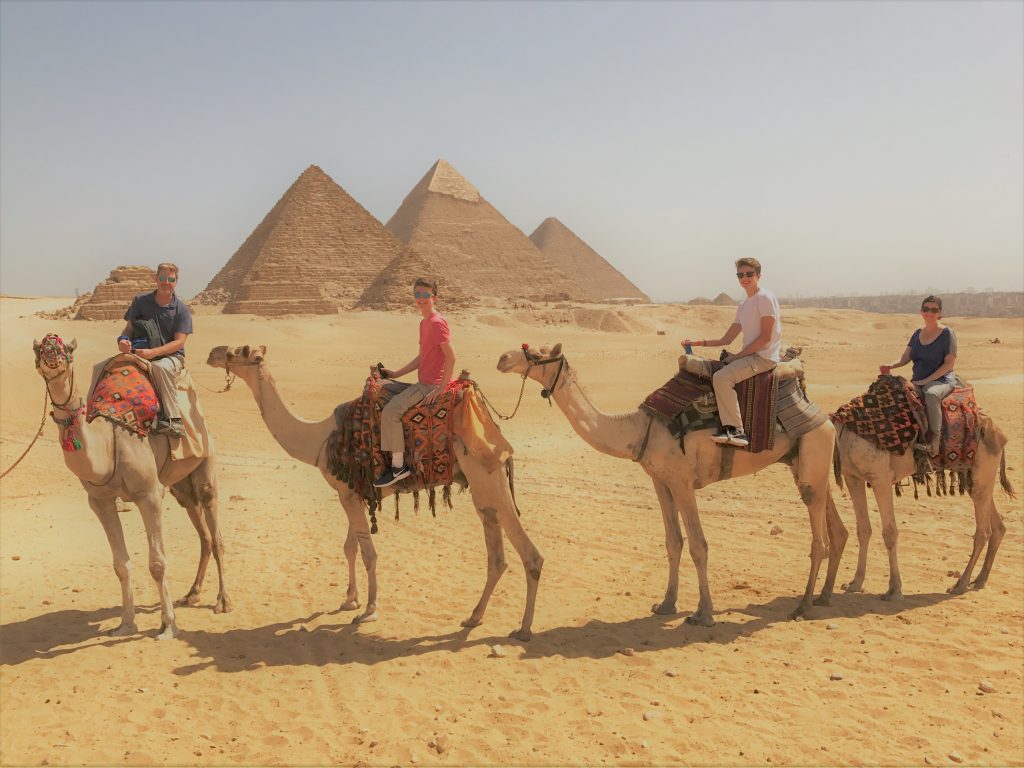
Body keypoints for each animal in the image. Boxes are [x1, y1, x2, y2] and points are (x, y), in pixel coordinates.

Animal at [34, 333, 232, 638]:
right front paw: (126, 623)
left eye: (66, 349)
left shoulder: (149, 494)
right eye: (38, 348)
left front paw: (168, 626)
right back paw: (192, 593)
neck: (109, 442)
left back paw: (223, 601)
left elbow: (158, 563)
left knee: (215, 529)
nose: (50, 353)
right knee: (203, 533)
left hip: (206, 460)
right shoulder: (100, 501)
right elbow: (120, 564)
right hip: (180, 487)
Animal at [205, 346, 544, 638]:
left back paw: (524, 628)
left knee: (530, 555)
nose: (213, 354)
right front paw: (350, 600)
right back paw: (474, 617)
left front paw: (368, 610)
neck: (319, 439)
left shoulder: (348, 494)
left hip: (487, 476)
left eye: (240, 352)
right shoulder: (353, 493)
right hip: (482, 488)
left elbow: (368, 553)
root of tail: (492, 426)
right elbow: (350, 546)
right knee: (497, 556)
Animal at [497, 342, 847, 626]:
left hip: (813, 454)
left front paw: (703, 614)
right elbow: (673, 542)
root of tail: (825, 415)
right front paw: (666, 603)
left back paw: (803, 606)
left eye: (538, 353)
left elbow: (698, 546)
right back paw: (824, 596)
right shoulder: (660, 481)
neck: (638, 429)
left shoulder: (682, 482)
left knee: (819, 539)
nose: (503, 358)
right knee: (836, 527)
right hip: (802, 463)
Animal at [835, 411, 1011, 598]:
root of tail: (999, 433)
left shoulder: (880, 478)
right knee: (997, 526)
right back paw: (979, 580)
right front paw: (855, 583)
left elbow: (889, 533)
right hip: (974, 479)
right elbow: (863, 530)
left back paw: (961, 584)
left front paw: (894, 589)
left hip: (982, 474)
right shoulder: (853, 477)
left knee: (983, 532)